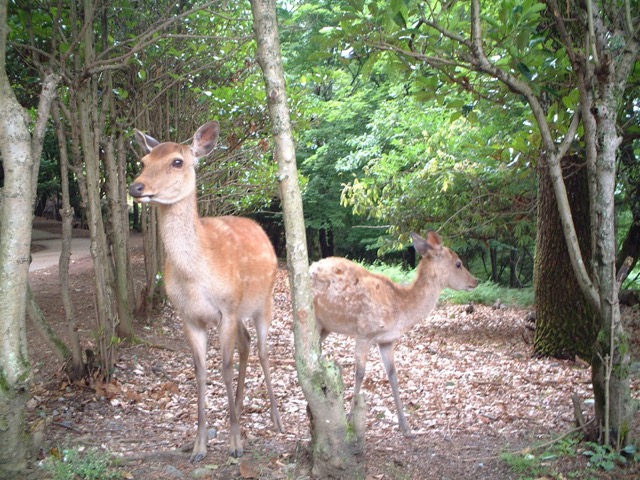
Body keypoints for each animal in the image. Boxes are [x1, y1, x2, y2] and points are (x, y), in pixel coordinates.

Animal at [127, 121, 282, 462]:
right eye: (143, 161)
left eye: (177, 161)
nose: (136, 188)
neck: (196, 277)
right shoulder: (189, 316)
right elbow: (199, 372)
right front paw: (199, 446)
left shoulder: (227, 308)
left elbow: (224, 368)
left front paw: (235, 444)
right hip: (241, 312)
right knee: (246, 343)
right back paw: (237, 407)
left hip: (263, 301)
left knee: (263, 350)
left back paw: (276, 420)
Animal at [312, 231, 478, 436]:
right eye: (458, 263)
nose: (475, 281)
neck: (401, 309)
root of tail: (312, 265)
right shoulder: (364, 333)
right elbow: (360, 373)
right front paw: (350, 420)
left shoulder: (387, 340)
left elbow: (392, 374)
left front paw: (406, 426)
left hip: (325, 327)